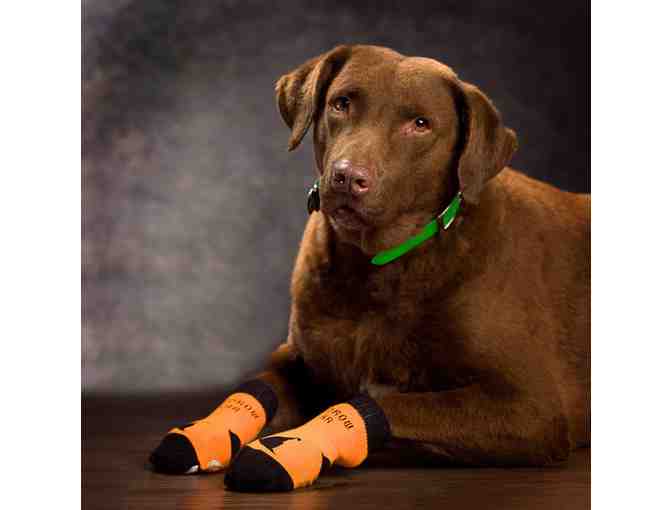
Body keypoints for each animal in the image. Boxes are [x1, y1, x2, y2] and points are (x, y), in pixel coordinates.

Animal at [151, 44, 589, 486]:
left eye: (420, 124)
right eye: (341, 104)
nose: (347, 178)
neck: (376, 268)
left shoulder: (531, 407)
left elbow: (387, 403)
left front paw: (287, 451)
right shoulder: (298, 359)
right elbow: (258, 387)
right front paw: (205, 433)